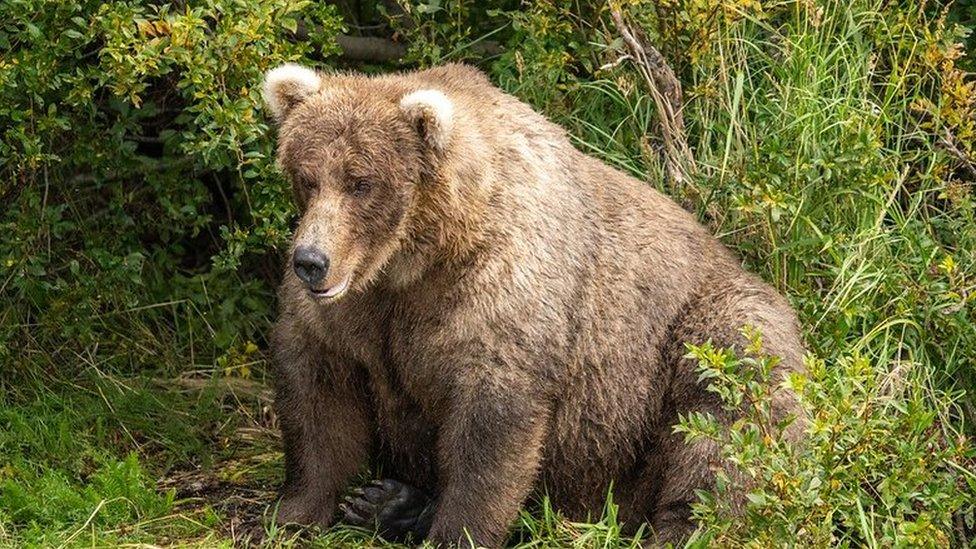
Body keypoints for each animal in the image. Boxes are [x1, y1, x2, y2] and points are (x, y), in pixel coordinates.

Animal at [260, 63, 800, 544]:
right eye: (308, 176)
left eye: (362, 182)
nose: (311, 261)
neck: (416, 259)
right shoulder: (354, 314)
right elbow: (317, 394)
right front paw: (296, 511)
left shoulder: (501, 292)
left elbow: (492, 423)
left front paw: (457, 533)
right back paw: (390, 502)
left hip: (701, 335)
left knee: (725, 422)